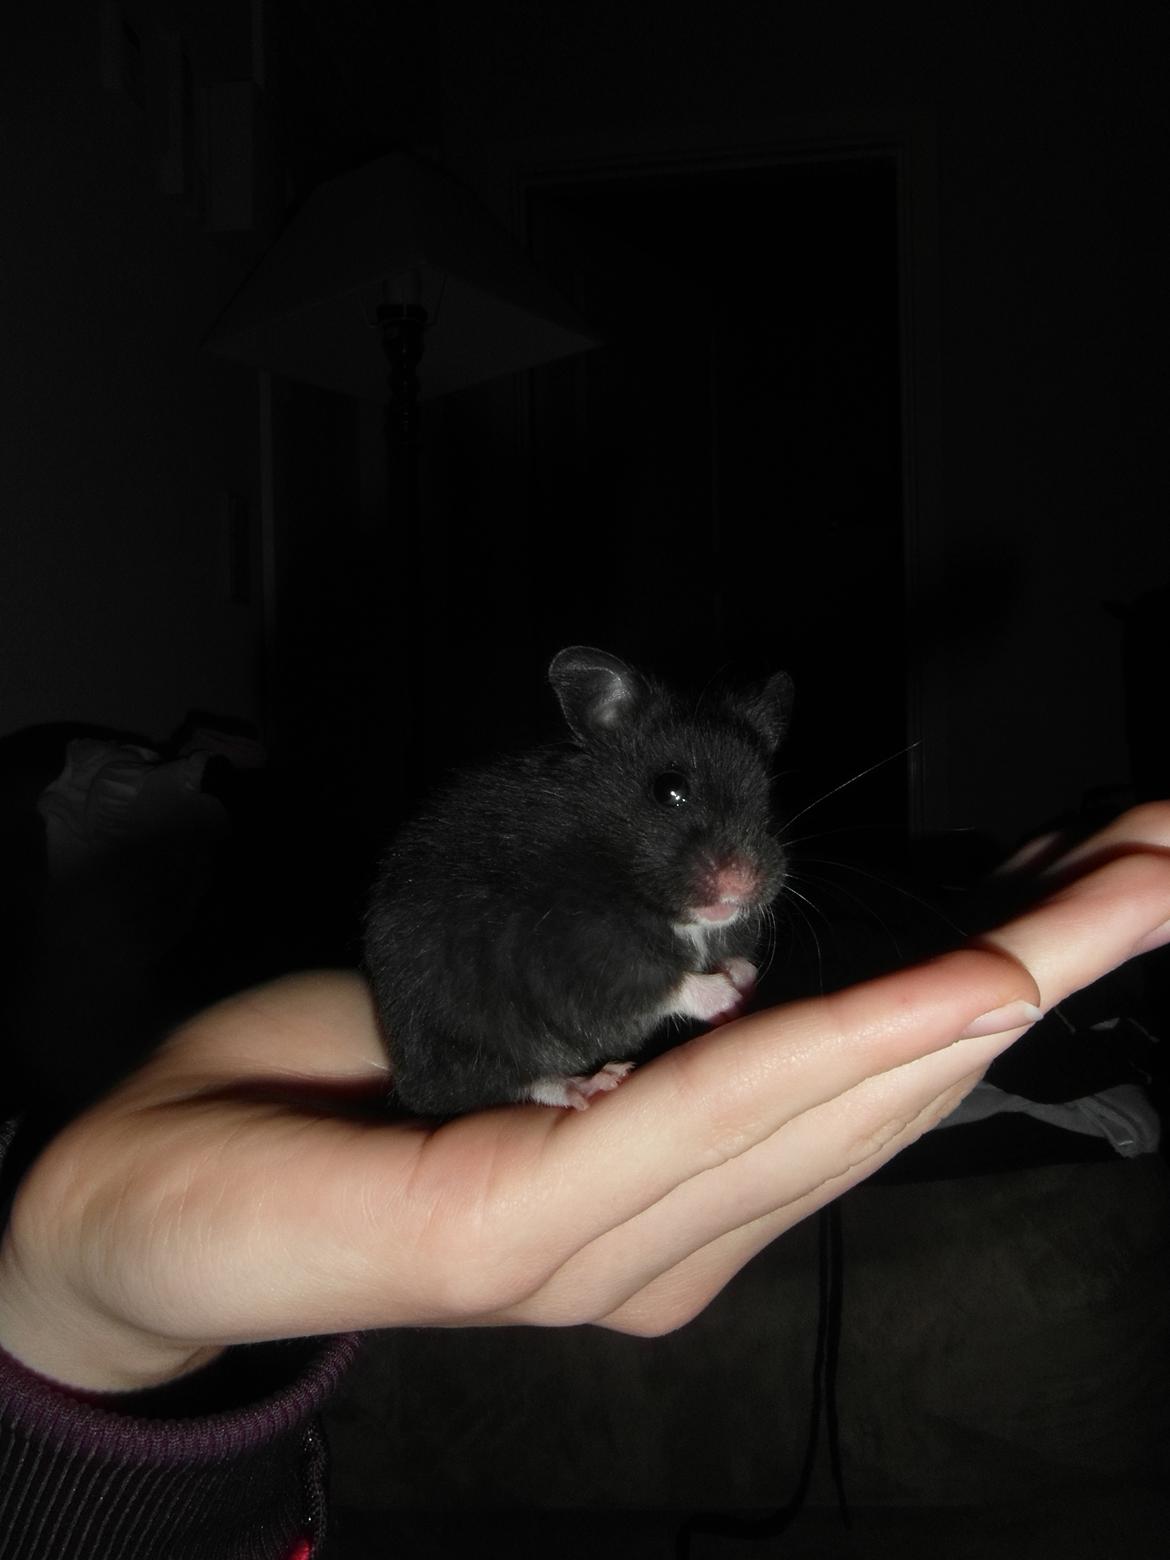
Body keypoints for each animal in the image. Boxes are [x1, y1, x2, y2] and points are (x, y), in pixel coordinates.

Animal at [363, 647, 793, 1115]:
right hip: (463, 1040)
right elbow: (659, 980)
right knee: (512, 1081)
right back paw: (593, 1083)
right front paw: (726, 995)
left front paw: (742, 977)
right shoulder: (573, 955)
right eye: (670, 788)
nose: (744, 881)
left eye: (766, 796)